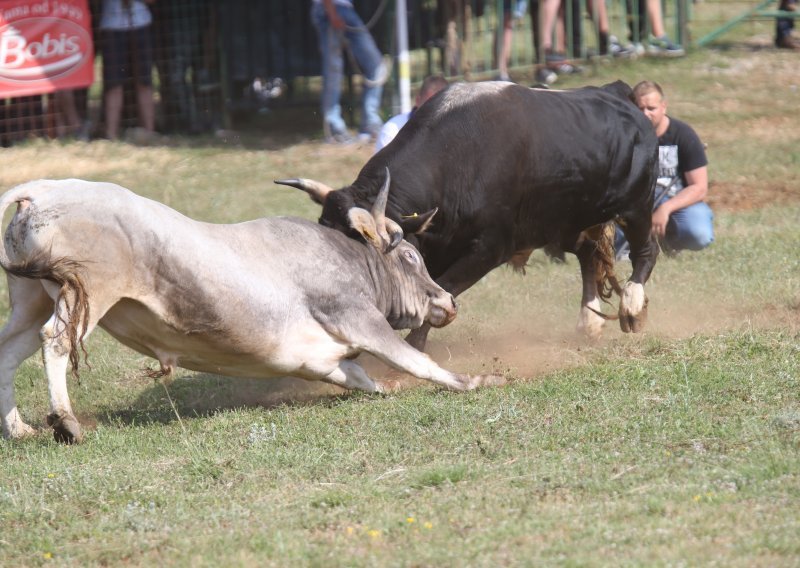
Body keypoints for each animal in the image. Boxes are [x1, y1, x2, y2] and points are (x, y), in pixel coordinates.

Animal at [0, 173, 500, 444]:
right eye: (412, 257)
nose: (448, 301)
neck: (345, 257)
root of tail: (43, 189)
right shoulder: (358, 318)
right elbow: (415, 360)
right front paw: (476, 380)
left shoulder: (321, 360)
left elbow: (363, 378)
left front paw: (386, 387)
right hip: (89, 293)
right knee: (55, 342)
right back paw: (65, 422)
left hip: (30, 299)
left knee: (9, 353)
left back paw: (18, 429)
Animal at [278, 78, 660, 348]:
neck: (456, 159)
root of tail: (616, 93)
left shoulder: (490, 249)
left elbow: (442, 293)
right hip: (564, 222)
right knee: (588, 254)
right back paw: (589, 322)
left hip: (636, 206)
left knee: (645, 251)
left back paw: (632, 307)